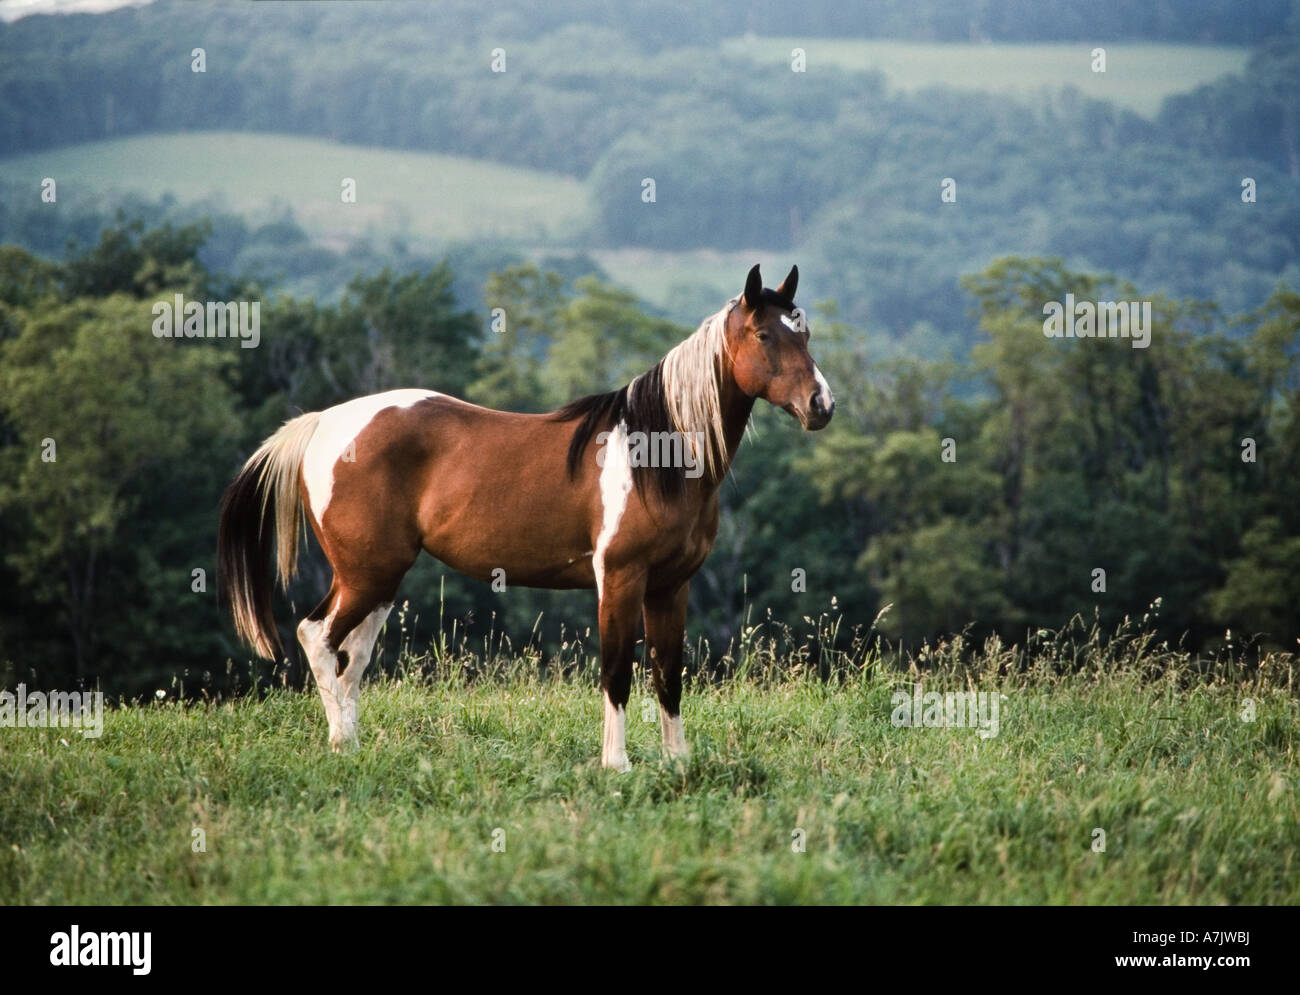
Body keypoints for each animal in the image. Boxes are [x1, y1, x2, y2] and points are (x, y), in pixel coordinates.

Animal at [217, 264, 834, 768]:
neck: (655, 455)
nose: (821, 406)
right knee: (318, 637)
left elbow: (669, 673)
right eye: (764, 334)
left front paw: (677, 764)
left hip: (376, 577)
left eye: (803, 332)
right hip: (366, 574)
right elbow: (616, 672)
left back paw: (354, 745)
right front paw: (617, 766)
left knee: (354, 655)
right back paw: (342, 744)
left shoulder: (670, 586)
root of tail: (322, 423)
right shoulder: (620, 579)